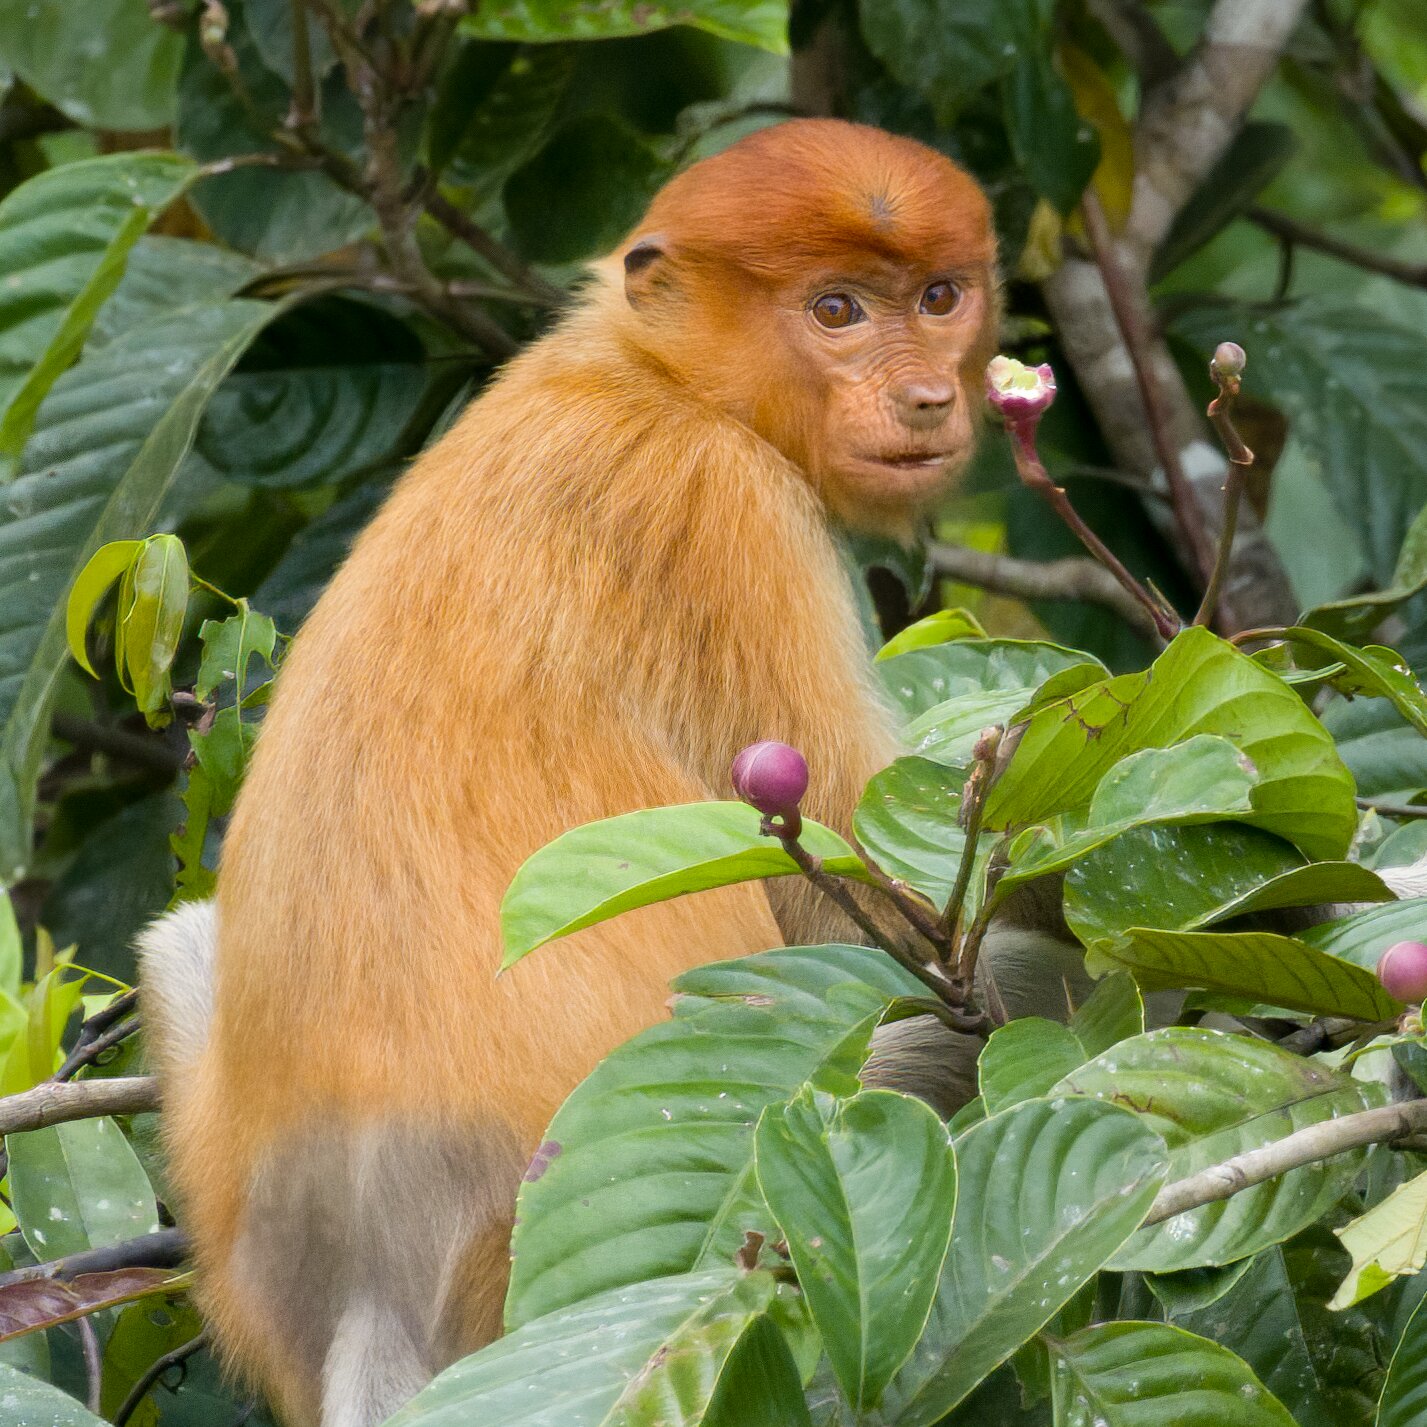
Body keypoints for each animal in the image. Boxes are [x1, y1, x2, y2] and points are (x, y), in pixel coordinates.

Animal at [134, 119, 1004, 1427]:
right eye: (836, 308)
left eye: (940, 297)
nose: (927, 396)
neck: (652, 374)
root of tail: (366, 1280)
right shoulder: (726, 506)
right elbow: (869, 894)